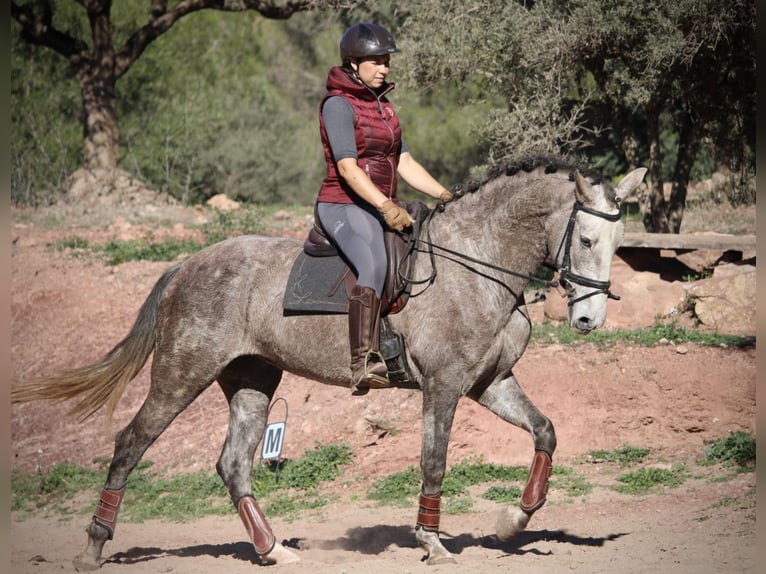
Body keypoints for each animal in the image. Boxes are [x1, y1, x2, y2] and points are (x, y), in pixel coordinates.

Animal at [10, 158, 648, 572]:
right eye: (586, 240)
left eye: (619, 243)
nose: (588, 320)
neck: (478, 261)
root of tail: (188, 264)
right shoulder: (443, 387)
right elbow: (434, 461)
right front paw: (433, 543)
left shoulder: (490, 383)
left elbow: (546, 431)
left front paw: (514, 520)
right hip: (181, 375)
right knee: (130, 443)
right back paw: (94, 546)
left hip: (251, 379)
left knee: (233, 463)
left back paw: (272, 549)